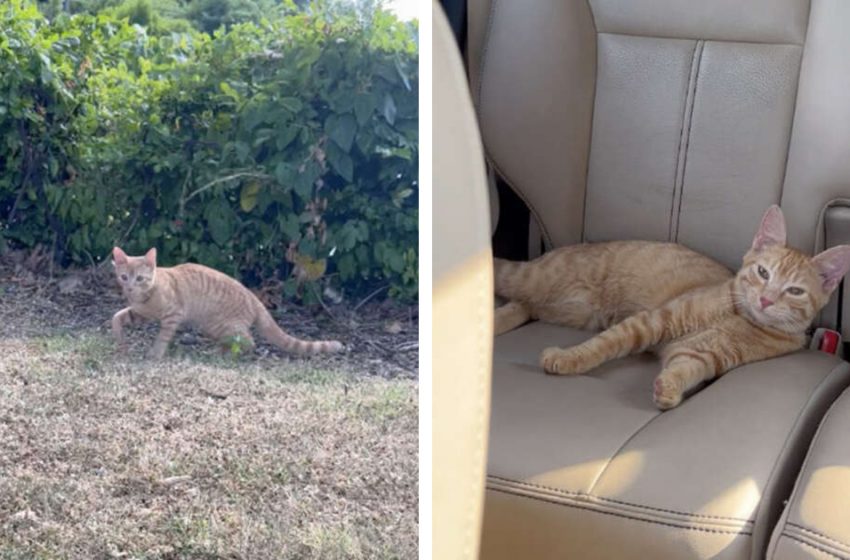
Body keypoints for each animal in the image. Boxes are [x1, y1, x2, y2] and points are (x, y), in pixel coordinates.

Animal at [490, 208, 848, 410]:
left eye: (795, 291)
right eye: (763, 273)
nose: (766, 300)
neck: (736, 317)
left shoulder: (702, 353)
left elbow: (684, 368)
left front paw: (668, 389)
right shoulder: (653, 321)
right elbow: (602, 345)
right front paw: (568, 359)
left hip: (563, 307)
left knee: (522, 306)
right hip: (533, 279)